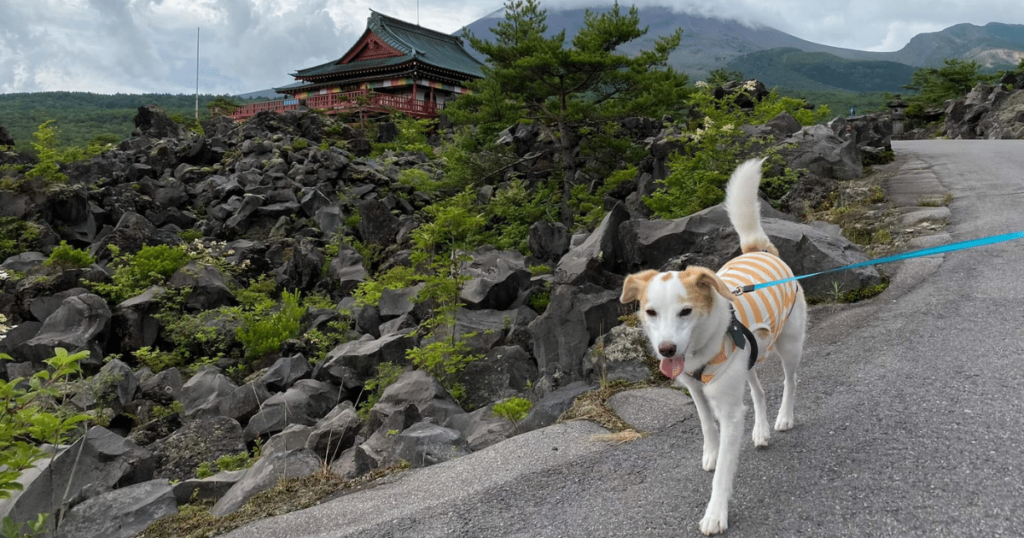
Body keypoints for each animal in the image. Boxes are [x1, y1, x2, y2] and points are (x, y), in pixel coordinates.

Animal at [614, 158, 806, 532]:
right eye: (650, 312)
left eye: (686, 311)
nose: (666, 351)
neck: (702, 347)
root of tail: (760, 250)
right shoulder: (697, 391)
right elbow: (706, 425)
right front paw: (712, 454)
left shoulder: (729, 412)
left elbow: (724, 474)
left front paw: (715, 513)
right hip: (749, 357)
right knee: (758, 392)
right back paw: (760, 430)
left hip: (789, 345)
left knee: (790, 381)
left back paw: (783, 417)